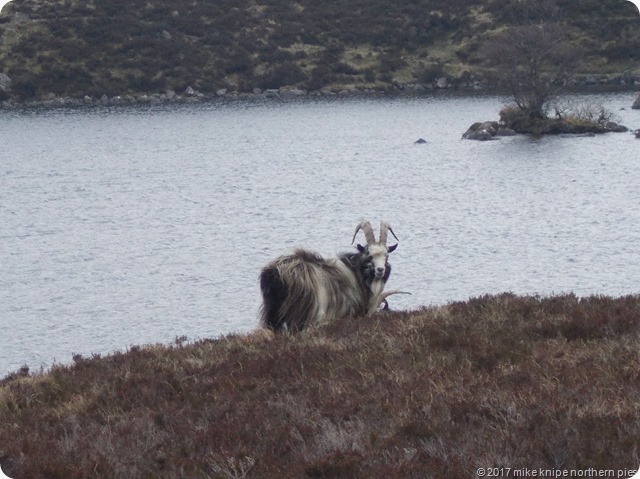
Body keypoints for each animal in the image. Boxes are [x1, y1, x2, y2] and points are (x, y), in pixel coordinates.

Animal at [258, 220, 400, 330]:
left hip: (272, 312)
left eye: (387, 256)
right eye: (369, 255)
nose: (380, 270)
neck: (355, 273)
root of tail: (275, 273)